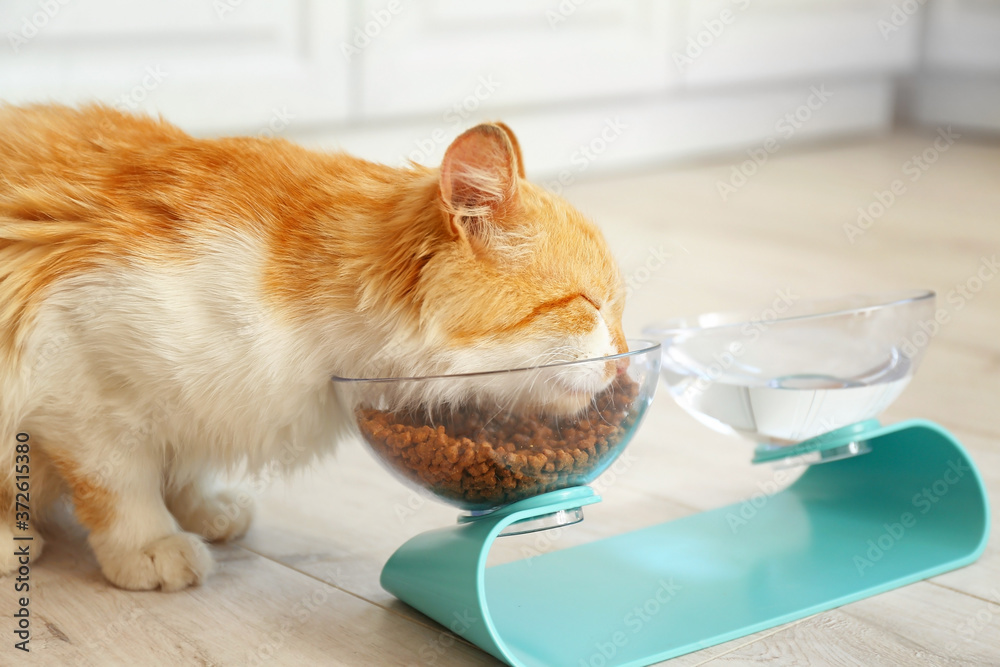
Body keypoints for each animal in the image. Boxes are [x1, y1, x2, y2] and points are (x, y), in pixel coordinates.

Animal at [0, 105, 624, 596]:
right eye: (591, 305)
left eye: (617, 309)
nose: (621, 361)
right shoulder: (78, 384)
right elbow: (121, 486)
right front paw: (152, 544)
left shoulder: (191, 405)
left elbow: (187, 464)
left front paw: (203, 510)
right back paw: (15, 542)